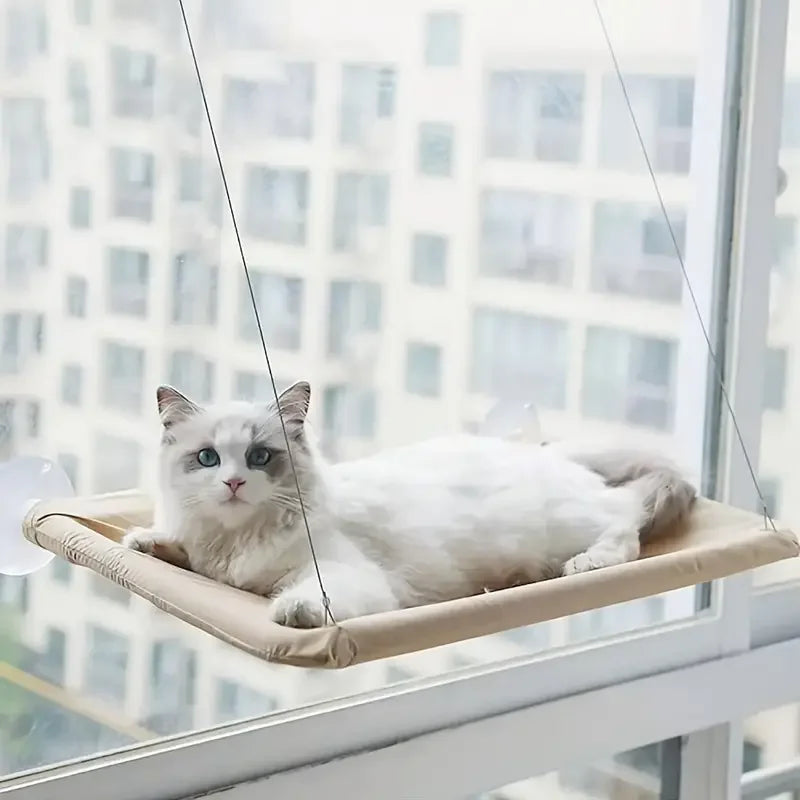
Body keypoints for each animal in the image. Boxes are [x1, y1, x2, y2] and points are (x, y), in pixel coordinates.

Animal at [122, 384, 696, 628]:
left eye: (261, 457)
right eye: (208, 457)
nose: (235, 482)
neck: (236, 541)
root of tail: (545, 452)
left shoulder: (345, 574)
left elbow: (310, 597)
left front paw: (292, 611)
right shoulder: (207, 559)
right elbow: (175, 550)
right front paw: (143, 542)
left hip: (568, 523)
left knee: (626, 522)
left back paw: (588, 563)